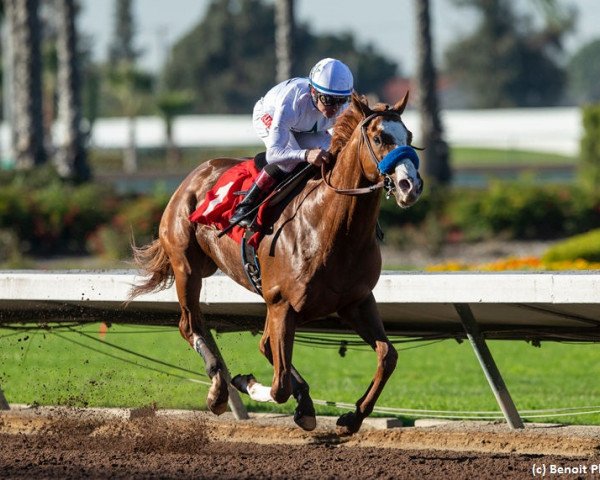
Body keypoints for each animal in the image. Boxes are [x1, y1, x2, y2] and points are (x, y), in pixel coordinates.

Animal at [129, 91, 424, 436]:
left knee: (262, 345)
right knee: (191, 325)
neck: (330, 227)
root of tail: (197, 172)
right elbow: (279, 385)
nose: (410, 186)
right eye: (379, 138)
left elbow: (387, 355)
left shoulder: (357, 301)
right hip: (188, 268)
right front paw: (248, 382)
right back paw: (218, 390)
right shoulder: (283, 303)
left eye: (410, 137)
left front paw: (351, 417)